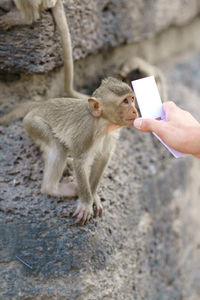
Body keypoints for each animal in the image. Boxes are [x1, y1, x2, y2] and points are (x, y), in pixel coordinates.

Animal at [21, 78, 138, 225]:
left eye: (132, 99)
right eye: (125, 101)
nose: (135, 110)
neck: (102, 123)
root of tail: (37, 107)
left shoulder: (111, 135)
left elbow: (102, 159)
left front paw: (93, 196)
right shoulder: (86, 132)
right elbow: (80, 162)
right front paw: (86, 203)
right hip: (33, 123)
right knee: (58, 146)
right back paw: (52, 188)